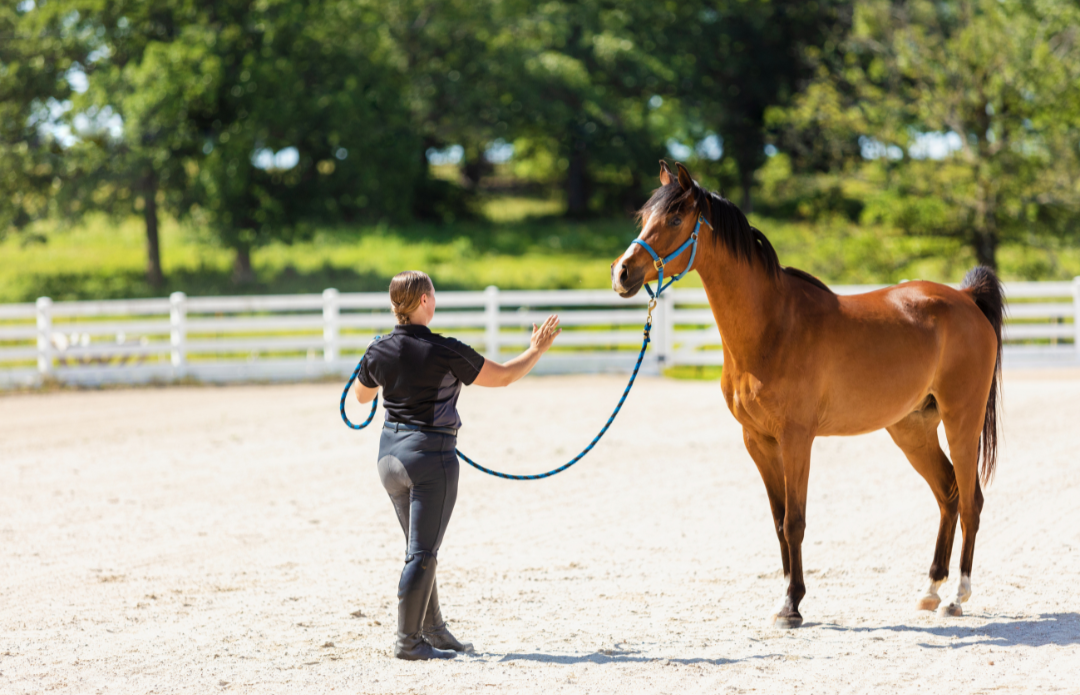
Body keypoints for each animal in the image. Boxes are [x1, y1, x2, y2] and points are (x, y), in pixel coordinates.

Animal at [611, 161, 1003, 628]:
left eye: (673, 219)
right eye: (643, 217)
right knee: (948, 494)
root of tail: (965, 299)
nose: (622, 273)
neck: (772, 327)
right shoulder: (757, 441)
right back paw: (929, 590)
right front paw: (786, 596)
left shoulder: (797, 439)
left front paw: (792, 606)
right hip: (912, 429)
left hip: (962, 421)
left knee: (972, 501)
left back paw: (956, 597)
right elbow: (779, 521)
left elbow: (795, 521)